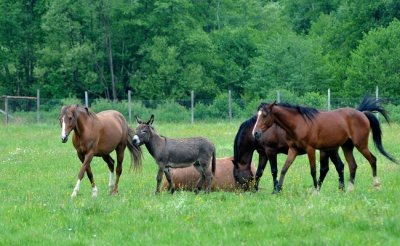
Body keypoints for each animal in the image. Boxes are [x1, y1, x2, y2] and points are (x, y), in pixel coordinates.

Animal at [253, 95, 396, 193]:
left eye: (264, 115)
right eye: (257, 115)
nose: (255, 133)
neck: (298, 123)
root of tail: (362, 113)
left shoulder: (310, 149)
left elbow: (313, 170)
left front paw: (315, 191)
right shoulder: (293, 149)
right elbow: (284, 169)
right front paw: (277, 190)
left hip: (360, 145)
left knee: (373, 159)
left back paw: (376, 185)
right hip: (347, 146)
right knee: (352, 165)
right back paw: (349, 189)